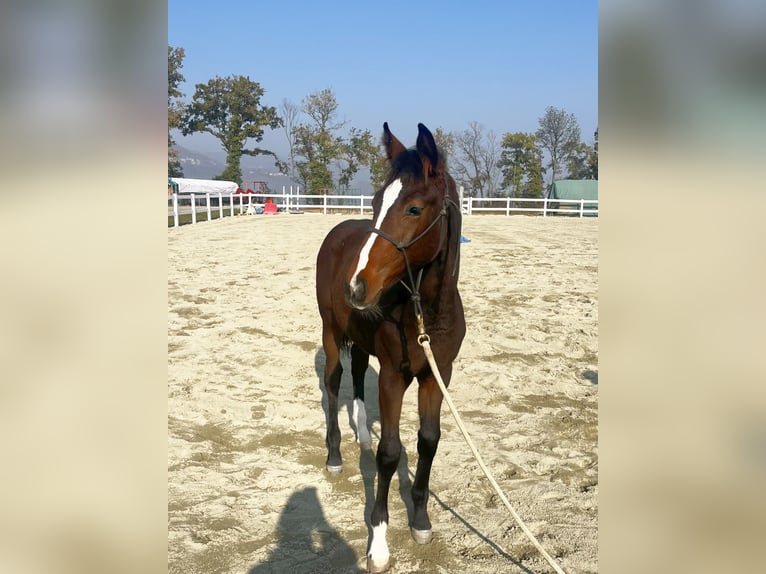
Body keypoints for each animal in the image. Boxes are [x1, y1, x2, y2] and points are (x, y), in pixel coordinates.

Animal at [315, 122, 466, 572]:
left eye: (414, 209)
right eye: (377, 201)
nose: (356, 287)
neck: (424, 315)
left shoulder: (437, 374)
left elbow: (428, 440)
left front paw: (421, 520)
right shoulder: (394, 378)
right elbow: (390, 453)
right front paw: (379, 542)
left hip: (362, 342)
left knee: (357, 375)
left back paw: (362, 434)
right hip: (331, 334)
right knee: (334, 383)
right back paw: (335, 457)